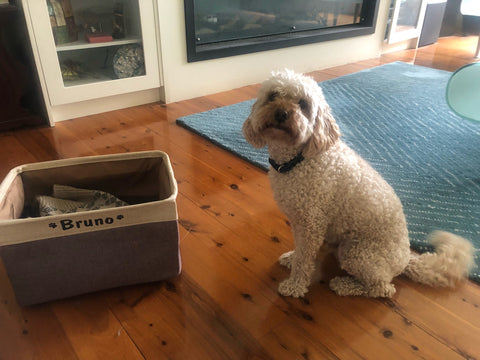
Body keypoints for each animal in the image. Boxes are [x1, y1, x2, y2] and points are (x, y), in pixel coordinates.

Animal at [242, 69, 474, 298]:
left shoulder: (311, 224)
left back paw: (345, 285)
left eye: (303, 104)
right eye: (273, 95)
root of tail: (407, 258)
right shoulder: (300, 222)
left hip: (357, 253)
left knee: (382, 288)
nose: (281, 113)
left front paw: (295, 286)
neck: (299, 160)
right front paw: (292, 259)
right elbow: (300, 252)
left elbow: (304, 259)